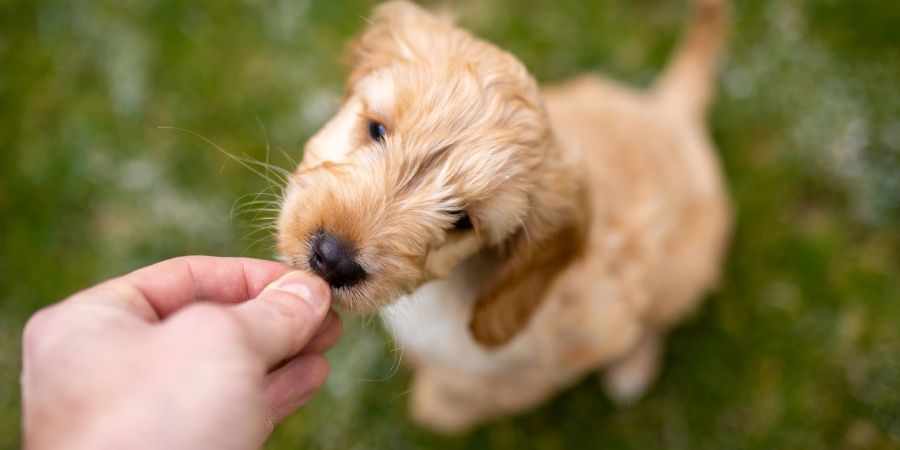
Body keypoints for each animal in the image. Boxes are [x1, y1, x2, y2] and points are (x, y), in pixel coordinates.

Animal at [280, 0, 732, 432]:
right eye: (376, 130)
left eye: (462, 220)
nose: (332, 259)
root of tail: (669, 109)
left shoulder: (556, 355)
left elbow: (460, 396)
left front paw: (434, 408)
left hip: (685, 271)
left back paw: (632, 369)